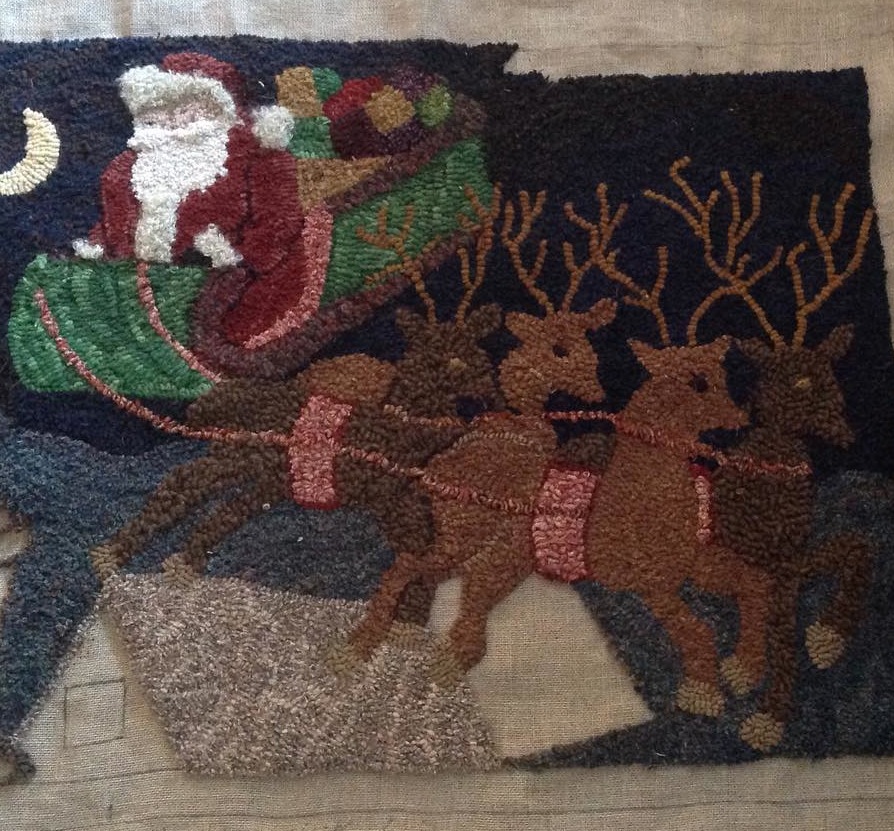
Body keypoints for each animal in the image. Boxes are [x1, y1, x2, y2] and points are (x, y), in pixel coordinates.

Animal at [645, 157, 877, 750]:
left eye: (831, 376)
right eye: (798, 382)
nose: (847, 433)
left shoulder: (791, 559)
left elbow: (856, 546)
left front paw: (827, 635)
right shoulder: (776, 569)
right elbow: (781, 636)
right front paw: (771, 714)